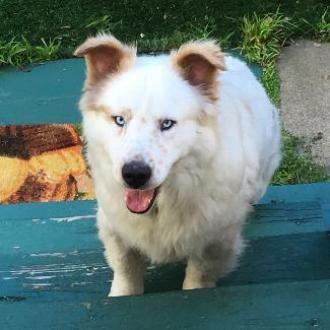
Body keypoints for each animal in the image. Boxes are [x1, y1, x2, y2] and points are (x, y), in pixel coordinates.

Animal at [75, 34, 282, 298]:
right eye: (119, 120)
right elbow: (125, 271)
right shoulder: (115, 229)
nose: (134, 174)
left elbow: (197, 277)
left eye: (167, 124)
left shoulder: (215, 241)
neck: (162, 208)